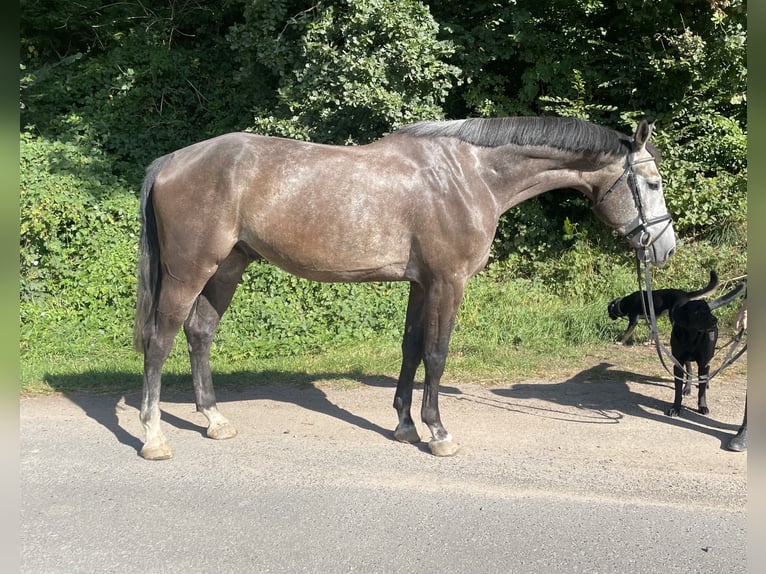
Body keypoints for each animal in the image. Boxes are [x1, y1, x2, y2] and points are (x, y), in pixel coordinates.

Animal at [135, 116, 676, 460]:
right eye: (651, 184)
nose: (665, 248)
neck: (469, 175)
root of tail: (171, 160)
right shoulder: (448, 282)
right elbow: (436, 354)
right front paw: (437, 432)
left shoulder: (421, 283)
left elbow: (411, 349)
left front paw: (404, 426)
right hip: (190, 270)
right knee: (161, 340)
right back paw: (154, 436)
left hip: (229, 265)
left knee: (200, 332)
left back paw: (214, 420)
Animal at [664, 284, 752, 418]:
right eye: (697, 311)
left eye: (708, 311)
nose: (714, 320)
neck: (692, 337)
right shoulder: (678, 363)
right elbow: (678, 390)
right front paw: (675, 408)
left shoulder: (704, 363)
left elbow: (701, 390)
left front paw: (703, 406)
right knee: (689, 370)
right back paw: (687, 388)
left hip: (708, 357)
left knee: (705, 375)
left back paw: (706, 383)